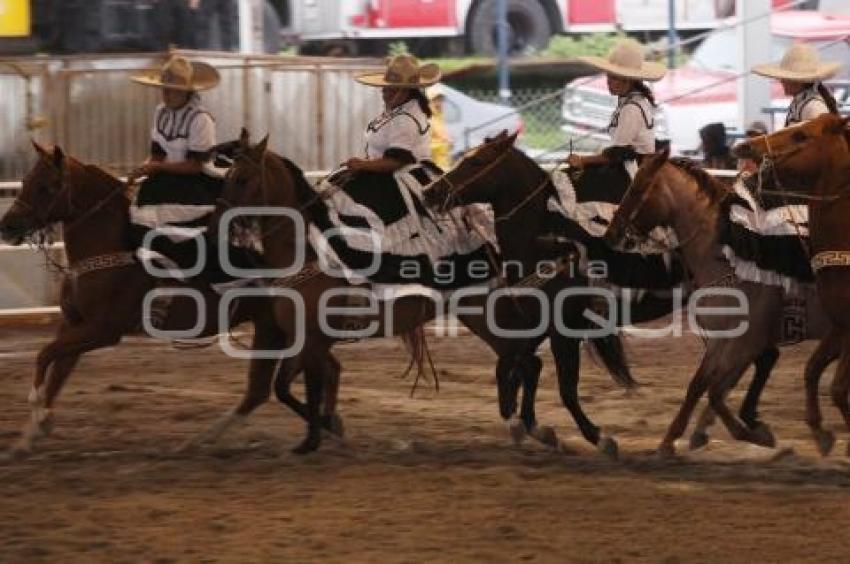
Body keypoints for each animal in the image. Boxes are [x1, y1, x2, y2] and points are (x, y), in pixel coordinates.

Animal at [0, 143, 304, 460]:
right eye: (25, 181)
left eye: (46, 187)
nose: (7, 225)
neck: (110, 245)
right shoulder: (73, 324)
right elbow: (58, 370)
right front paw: (31, 435)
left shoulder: (102, 330)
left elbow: (44, 355)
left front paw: (37, 410)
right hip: (269, 327)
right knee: (257, 391)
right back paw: (198, 442)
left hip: (271, 326)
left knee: (260, 389)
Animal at [204, 133, 628, 458]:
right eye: (227, 177)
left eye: (243, 178)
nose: (215, 224)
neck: (308, 251)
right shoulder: (304, 339)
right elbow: (285, 387)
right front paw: (328, 428)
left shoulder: (312, 340)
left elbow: (301, 386)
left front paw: (313, 438)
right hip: (483, 317)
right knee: (525, 361)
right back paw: (533, 430)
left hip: (491, 314)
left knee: (527, 362)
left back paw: (566, 433)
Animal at [608, 151, 840, 458]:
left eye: (636, 189)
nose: (610, 234)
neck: (726, 259)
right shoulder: (720, 341)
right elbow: (699, 385)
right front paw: (670, 440)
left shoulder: (746, 343)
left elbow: (716, 391)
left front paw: (754, 433)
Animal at [732, 113, 848, 454]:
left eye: (801, 136)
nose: (744, 145)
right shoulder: (840, 327)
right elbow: (814, 370)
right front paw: (820, 432)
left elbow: (837, 388)